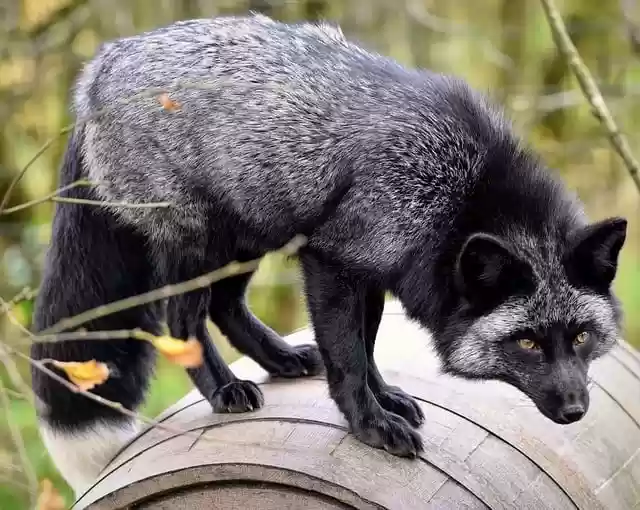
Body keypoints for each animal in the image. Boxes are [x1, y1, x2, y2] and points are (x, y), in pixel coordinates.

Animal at [30, 13, 627, 497]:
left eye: (580, 337)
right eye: (526, 342)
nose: (576, 410)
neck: (463, 191)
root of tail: (99, 67)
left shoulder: (373, 270)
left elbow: (366, 348)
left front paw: (386, 401)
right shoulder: (333, 262)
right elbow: (348, 358)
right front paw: (370, 426)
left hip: (252, 230)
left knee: (226, 304)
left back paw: (282, 359)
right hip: (200, 241)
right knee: (183, 322)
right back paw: (224, 389)